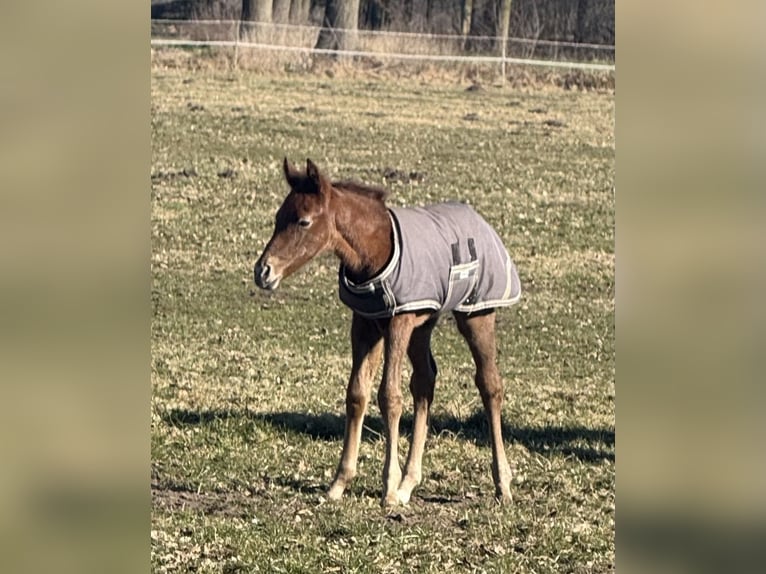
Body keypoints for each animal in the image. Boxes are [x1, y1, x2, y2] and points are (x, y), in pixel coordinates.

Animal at [254, 158, 522, 506]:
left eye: (303, 221)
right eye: (277, 218)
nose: (263, 271)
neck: (374, 251)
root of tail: (481, 221)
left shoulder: (398, 322)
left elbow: (389, 396)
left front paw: (388, 487)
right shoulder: (366, 323)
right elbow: (357, 393)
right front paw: (339, 483)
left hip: (476, 314)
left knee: (490, 384)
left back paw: (502, 484)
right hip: (424, 325)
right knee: (425, 382)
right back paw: (410, 481)